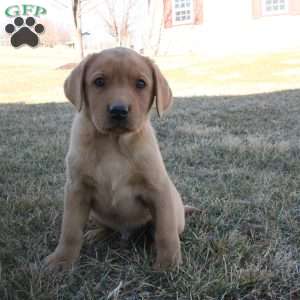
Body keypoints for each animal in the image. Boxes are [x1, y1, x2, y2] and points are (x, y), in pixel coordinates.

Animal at [44, 47, 195, 270]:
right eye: (99, 82)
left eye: (140, 83)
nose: (118, 110)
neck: (113, 143)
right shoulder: (76, 189)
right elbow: (70, 231)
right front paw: (61, 259)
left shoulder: (158, 190)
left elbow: (165, 232)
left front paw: (168, 264)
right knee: (107, 228)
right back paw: (96, 234)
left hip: (174, 212)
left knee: (159, 230)